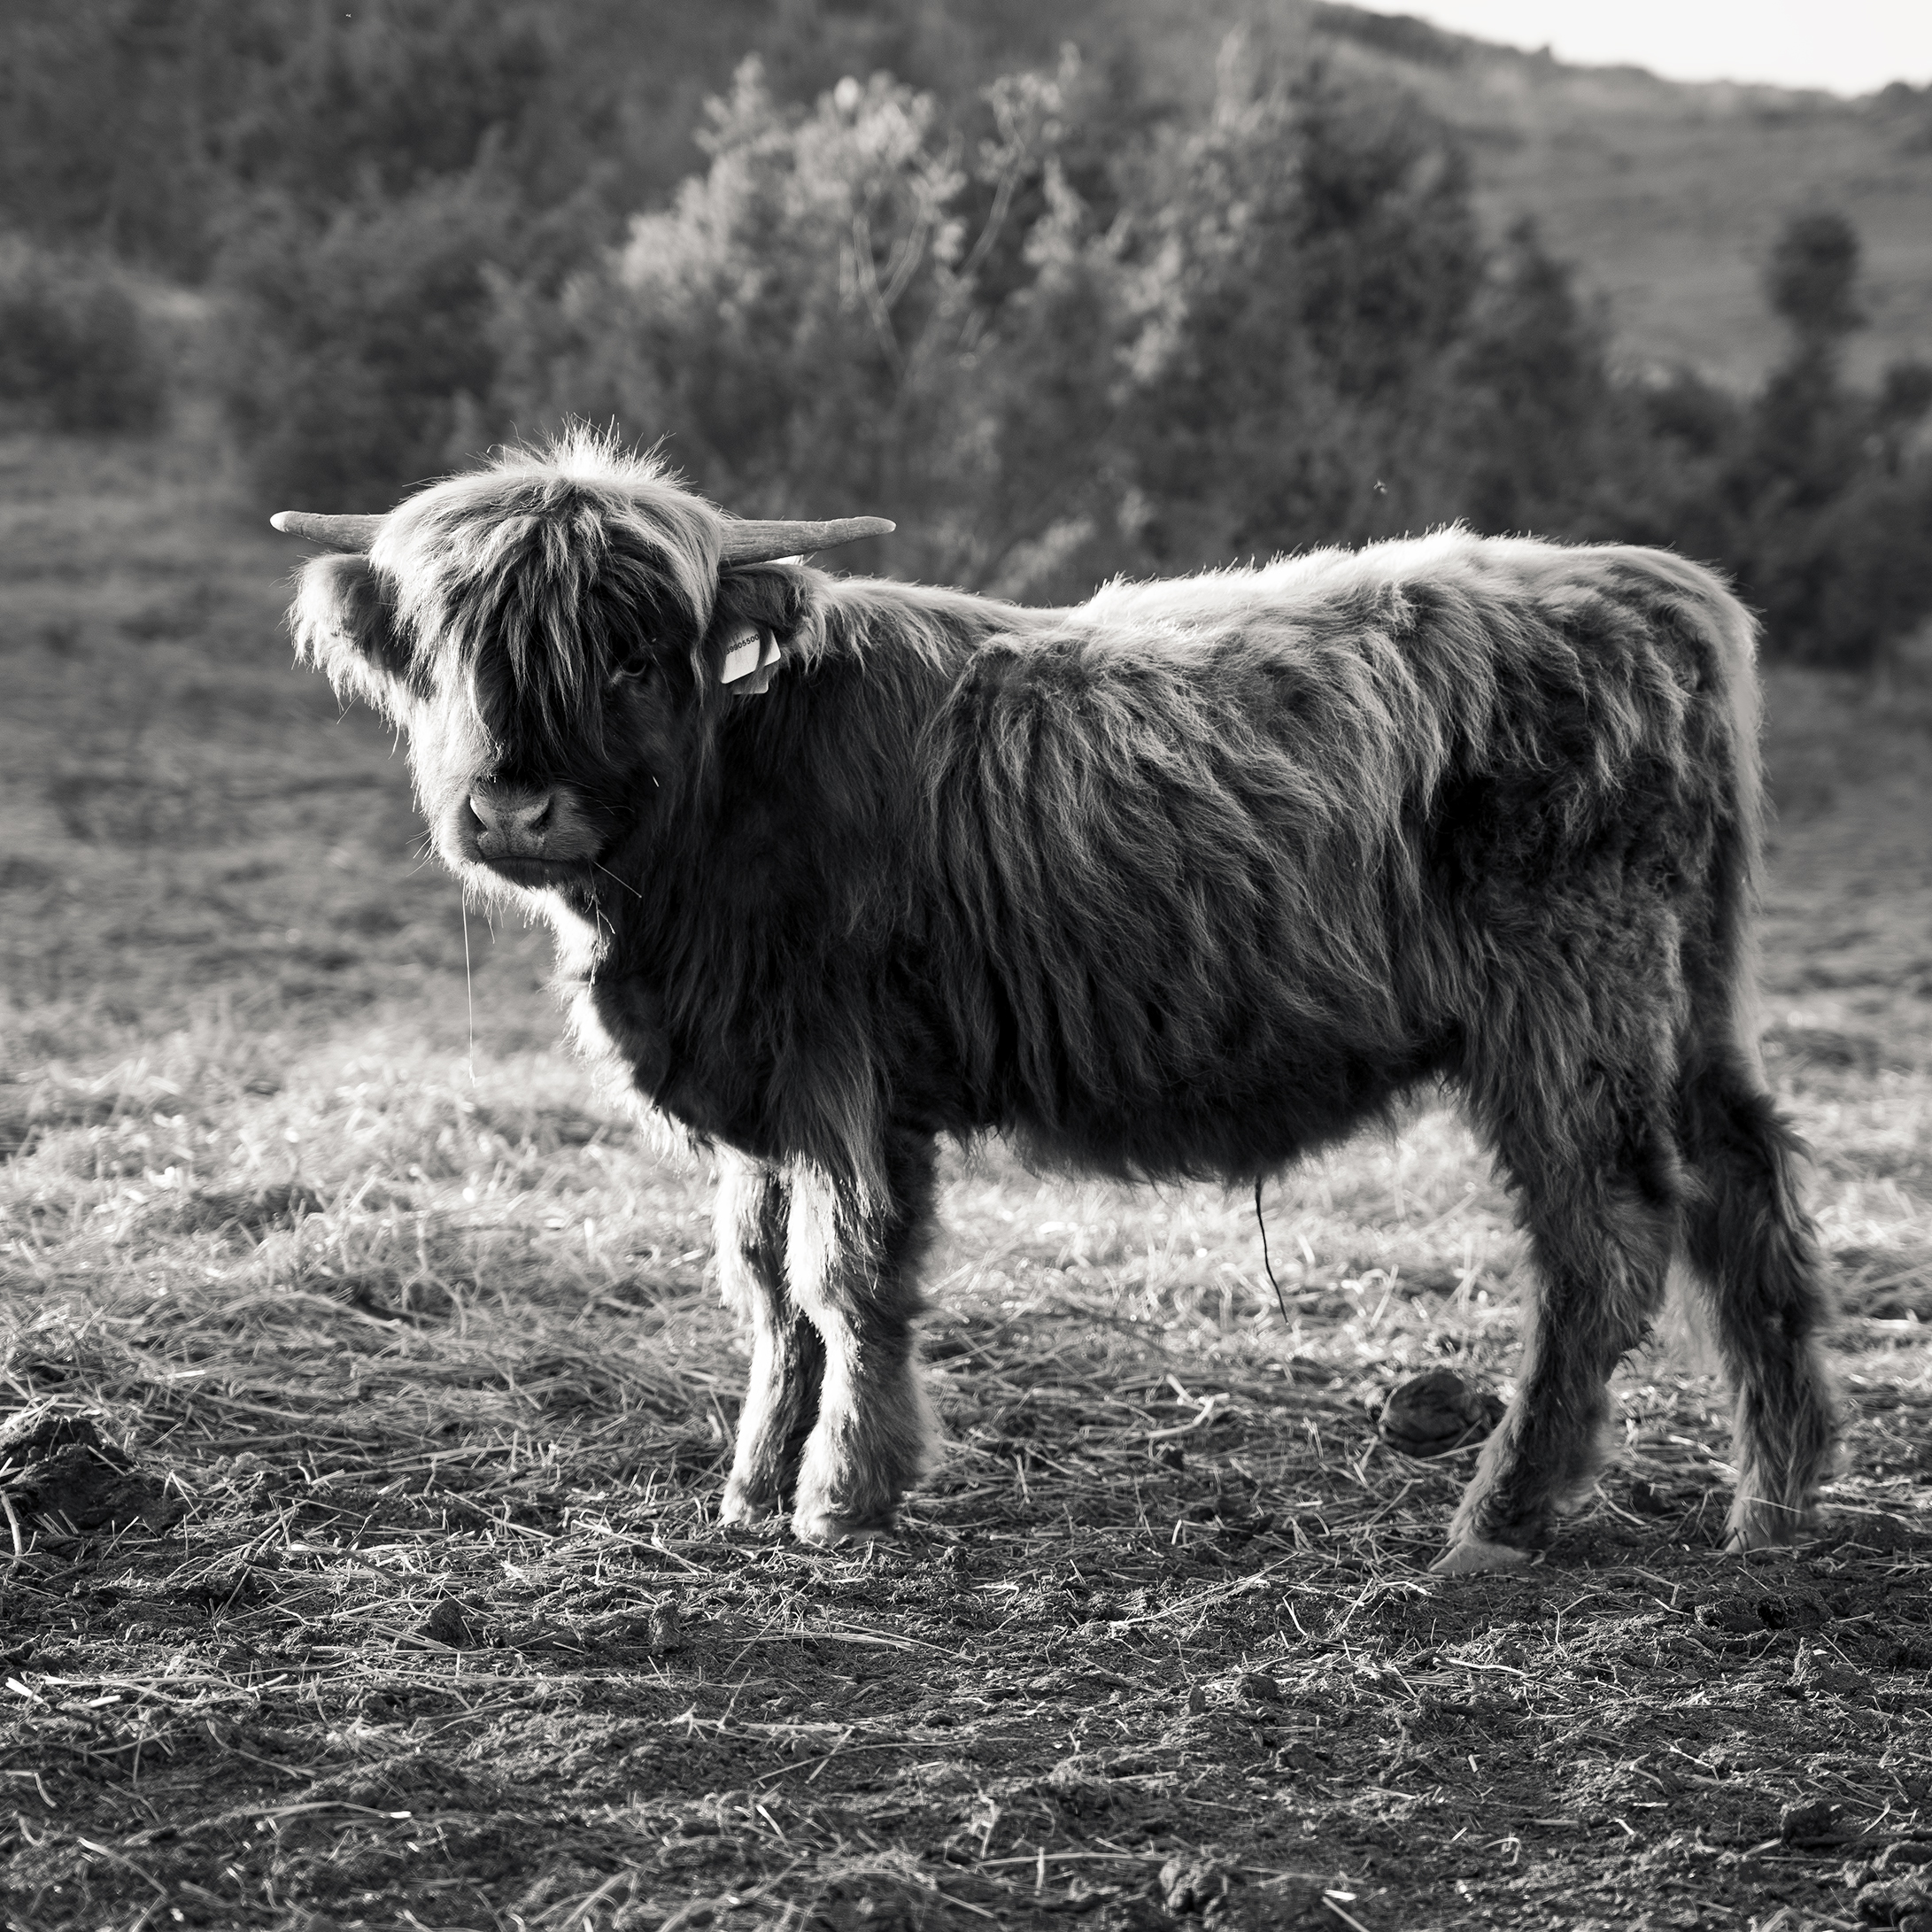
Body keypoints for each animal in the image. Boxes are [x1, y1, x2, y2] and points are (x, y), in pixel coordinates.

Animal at [272, 432, 1836, 1575]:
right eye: (447, 648)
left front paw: (841, 1493)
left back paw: (1502, 1515)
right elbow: (766, 1286)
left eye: (633, 650)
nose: (518, 803)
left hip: (1563, 1007)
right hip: (1681, 998)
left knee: (1603, 1238)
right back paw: (1775, 1503)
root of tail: (1652, 589)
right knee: (1742, 1187)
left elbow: (846, 1276)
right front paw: (750, 1482)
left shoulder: (846, 1077)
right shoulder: (760, 1093)